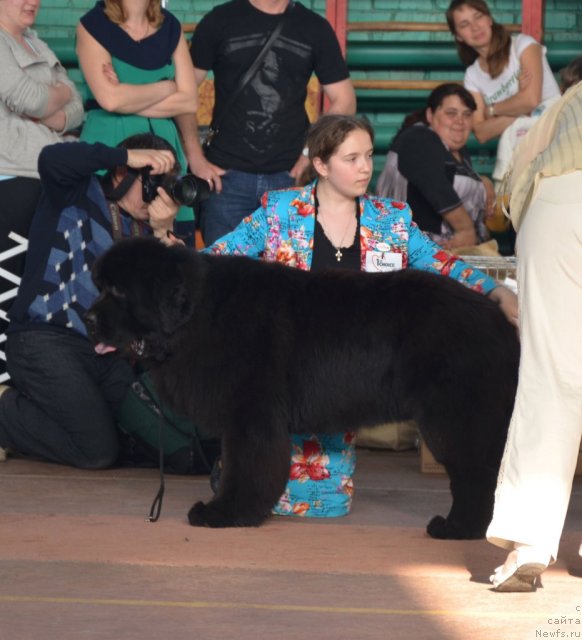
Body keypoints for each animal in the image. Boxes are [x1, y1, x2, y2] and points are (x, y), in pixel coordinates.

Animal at [85, 238, 520, 536]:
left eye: (118, 292)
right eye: (101, 287)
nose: (86, 318)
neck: (199, 314)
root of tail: (498, 316)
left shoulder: (251, 416)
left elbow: (246, 467)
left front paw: (226, 513)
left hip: (455, 418)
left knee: (476, 474)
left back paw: (458, 529)